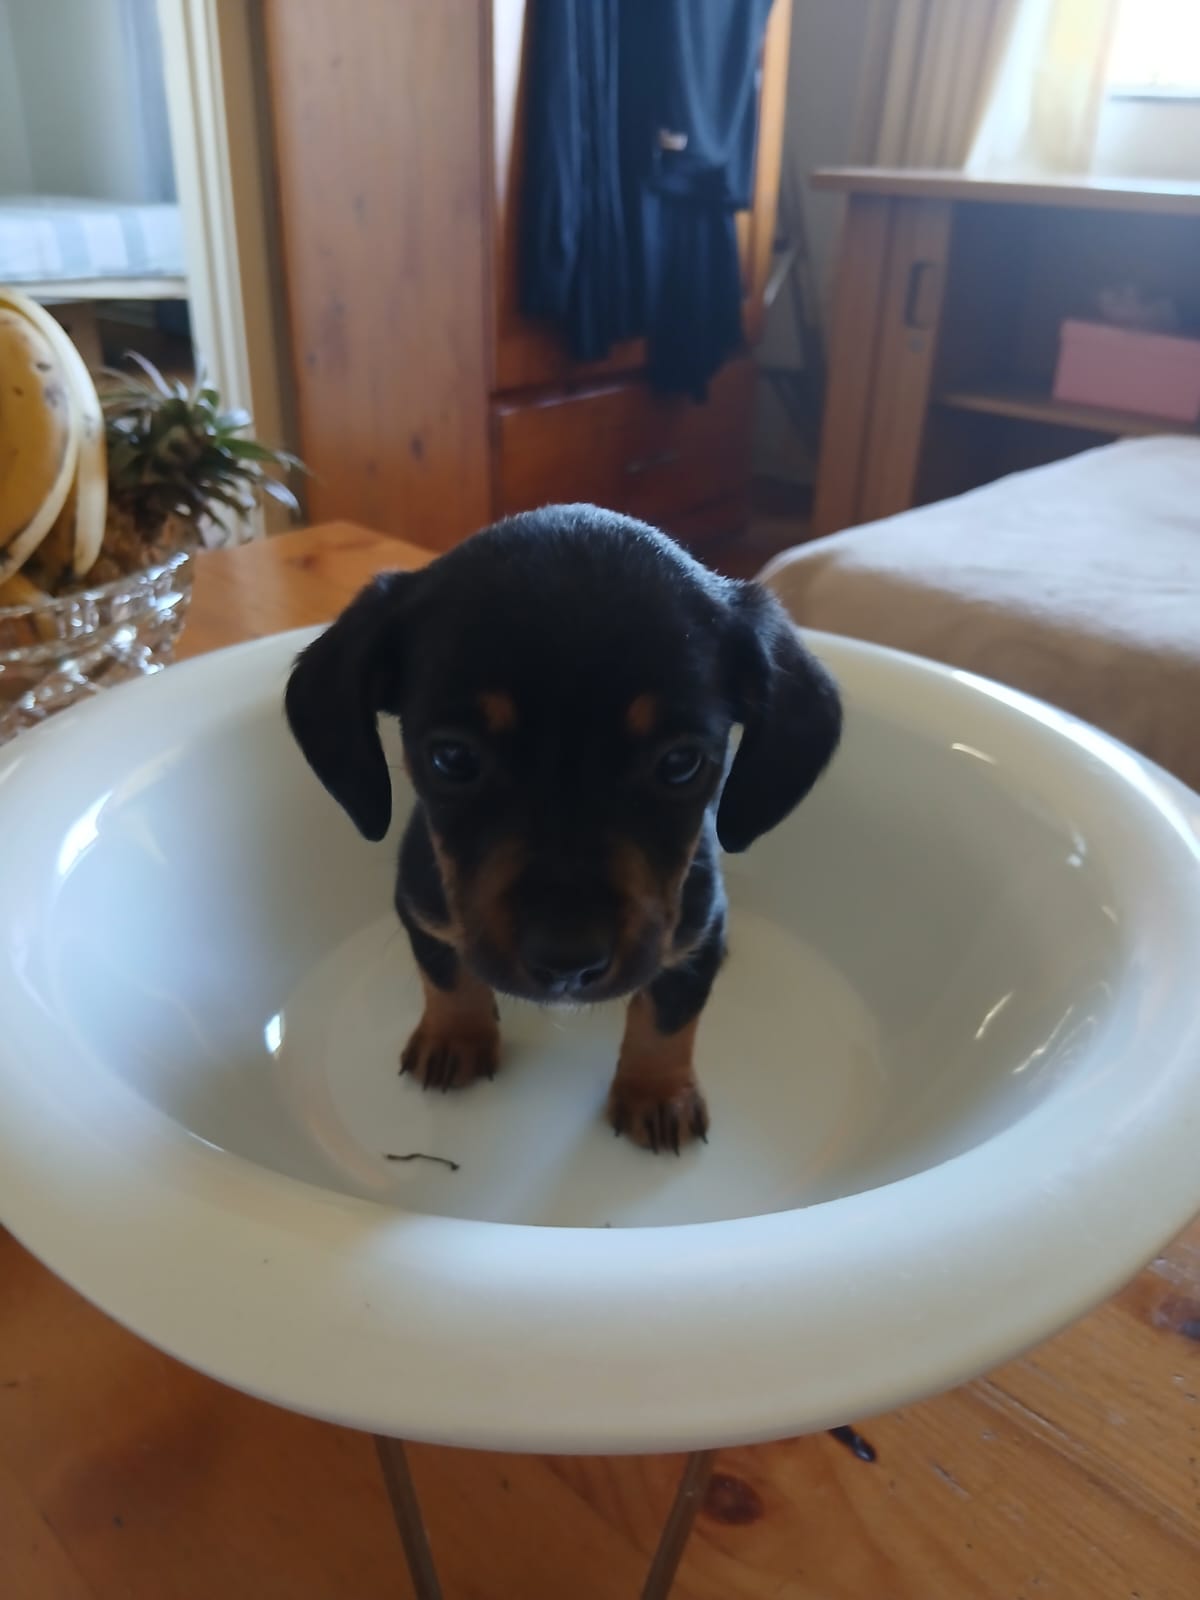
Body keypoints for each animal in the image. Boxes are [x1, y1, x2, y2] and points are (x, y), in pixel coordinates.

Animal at [285, 505, 841, 1153]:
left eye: (680, 763)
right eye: (453, 757)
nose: (567, 964)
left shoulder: (696, 932)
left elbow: (668, 1016)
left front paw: (658, 1092)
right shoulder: (422, 907)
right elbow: (446, 975)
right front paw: (455, 1037)